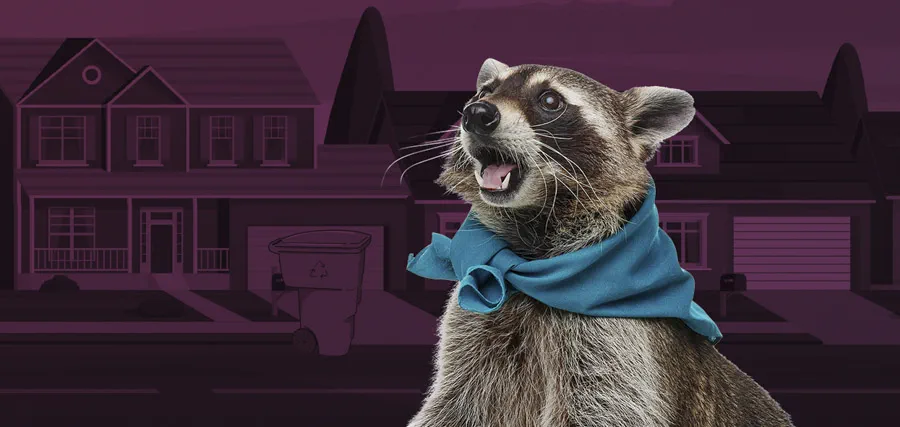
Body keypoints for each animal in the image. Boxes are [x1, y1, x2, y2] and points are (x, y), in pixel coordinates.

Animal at [406, 59, 794, 427]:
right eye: (485, 91)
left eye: (550, 100)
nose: (476, 113)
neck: (529, 261)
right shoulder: (478, 309)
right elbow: (458, 405)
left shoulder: (617, 333)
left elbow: (607, 406)